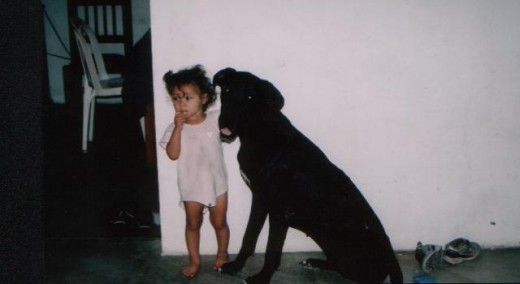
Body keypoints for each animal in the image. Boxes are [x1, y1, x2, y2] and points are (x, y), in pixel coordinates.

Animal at [213, 67, 404, 282]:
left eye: (250, 97)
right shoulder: (260, 200)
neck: (259, 133)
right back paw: (315, 262)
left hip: (347, 252)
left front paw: (262, 278)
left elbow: (272, 250)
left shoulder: (278, 212)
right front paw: (235, 266)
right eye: (227, 90)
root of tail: (391, 257)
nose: (225, 122)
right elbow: (249, 236)